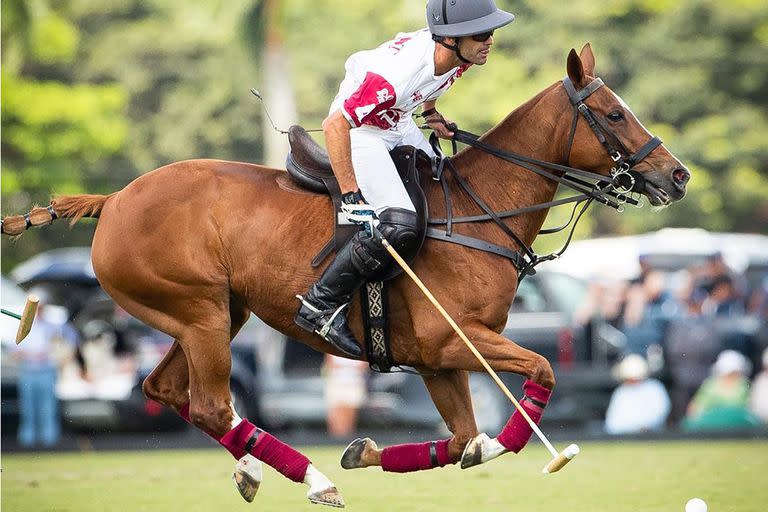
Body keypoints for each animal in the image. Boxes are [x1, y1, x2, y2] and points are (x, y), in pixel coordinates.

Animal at [3, 45, 688, 508]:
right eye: (613, 113)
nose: (678, 176)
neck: (477, 211)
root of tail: (116, 198)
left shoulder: (438, 362)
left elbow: (463, 440)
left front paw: (370, 451)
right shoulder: (454, 340)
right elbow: (539, 373)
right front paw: (534, 452)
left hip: (217, 312)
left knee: (168, 391)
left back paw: (255, 469)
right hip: (197, 311)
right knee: (211, 404)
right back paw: (313, 478)